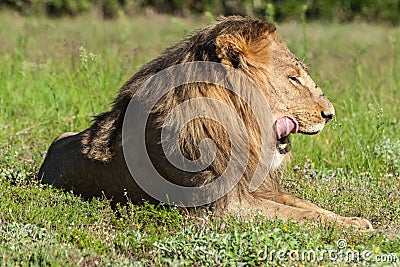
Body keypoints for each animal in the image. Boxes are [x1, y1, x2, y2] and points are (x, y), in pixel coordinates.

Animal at [37, 16, 372, 230]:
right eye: (293, 78)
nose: (330, 114)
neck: (241, 127)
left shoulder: (256, 188)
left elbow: (307, 206)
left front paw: (353, 220)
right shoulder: (224, 207)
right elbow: (301, 216)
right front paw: (354, 228)